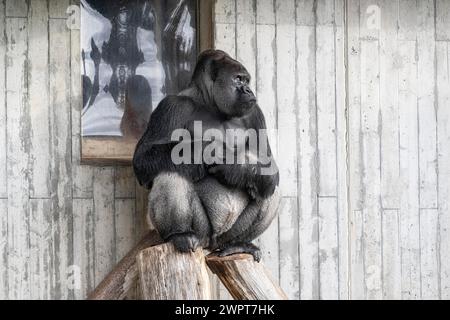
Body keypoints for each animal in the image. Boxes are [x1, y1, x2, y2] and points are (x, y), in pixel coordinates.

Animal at [134, 49, 280, 260]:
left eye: (247, 80)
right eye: (238, 79)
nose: (249, 91)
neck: (209, 103)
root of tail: (212, 245)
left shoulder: (255, 112)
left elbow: (268, 165)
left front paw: (236, 168)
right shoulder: (171, 105)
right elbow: (143, 158)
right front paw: (207, 150)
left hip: (224, 237)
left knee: (267, 186)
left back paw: (239, 244)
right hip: (202, 235)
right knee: (169, 171)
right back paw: (180, 234)